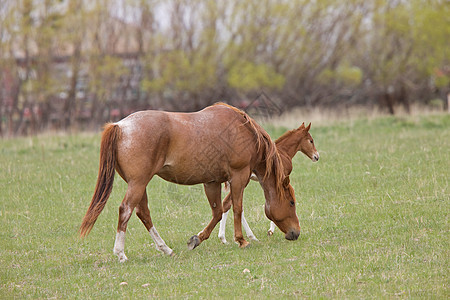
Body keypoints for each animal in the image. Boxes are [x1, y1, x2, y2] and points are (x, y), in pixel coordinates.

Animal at [79, 103, 300, 262]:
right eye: (291, 202)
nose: (295, 233)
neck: (244, 132)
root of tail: (120, 126)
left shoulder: (212, 182)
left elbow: (218, 212)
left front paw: (197, 239)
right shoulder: (239, 177)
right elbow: (237, 207)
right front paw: (241, 240)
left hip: (139, 185)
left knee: (143, 213)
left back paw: (165, 249)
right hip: (138, 183)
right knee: (126, 210)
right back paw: (121, 253)